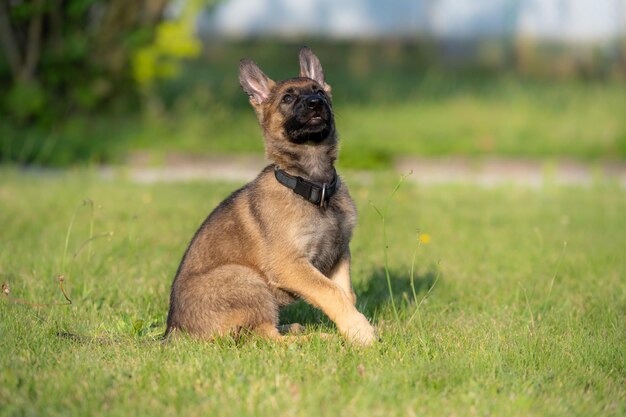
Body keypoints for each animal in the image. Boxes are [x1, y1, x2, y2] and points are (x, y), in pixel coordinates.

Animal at [163, 46, 372, 344]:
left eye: (319, 91)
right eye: (288, 98)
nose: (315, 103)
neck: (313, 184)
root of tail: (174, 333)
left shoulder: (339, 253)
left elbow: (345, 294)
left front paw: (351, 326)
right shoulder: (290, 264)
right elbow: (331, 292)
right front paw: (360, 331)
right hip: (246, 279)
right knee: (265, 337)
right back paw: (319, 338)